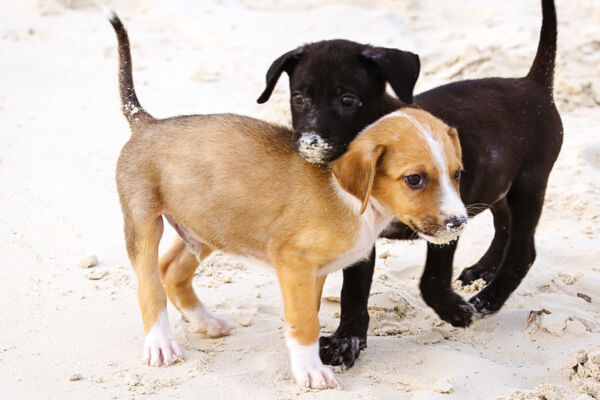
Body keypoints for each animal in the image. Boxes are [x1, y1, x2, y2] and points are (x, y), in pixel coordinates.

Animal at [105, 10, 466, 390]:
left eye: (457, 173)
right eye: (414, 179)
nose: (458, 223)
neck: (351, 198)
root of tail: (146, 122)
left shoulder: (311, 273)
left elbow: (307, 315)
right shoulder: (293, 262)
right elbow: (304, 321)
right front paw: (310, 371)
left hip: (205, 226)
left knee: (171, 270)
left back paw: (207, 322)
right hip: (144, 223)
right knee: (150, 286)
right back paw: (160, 344)